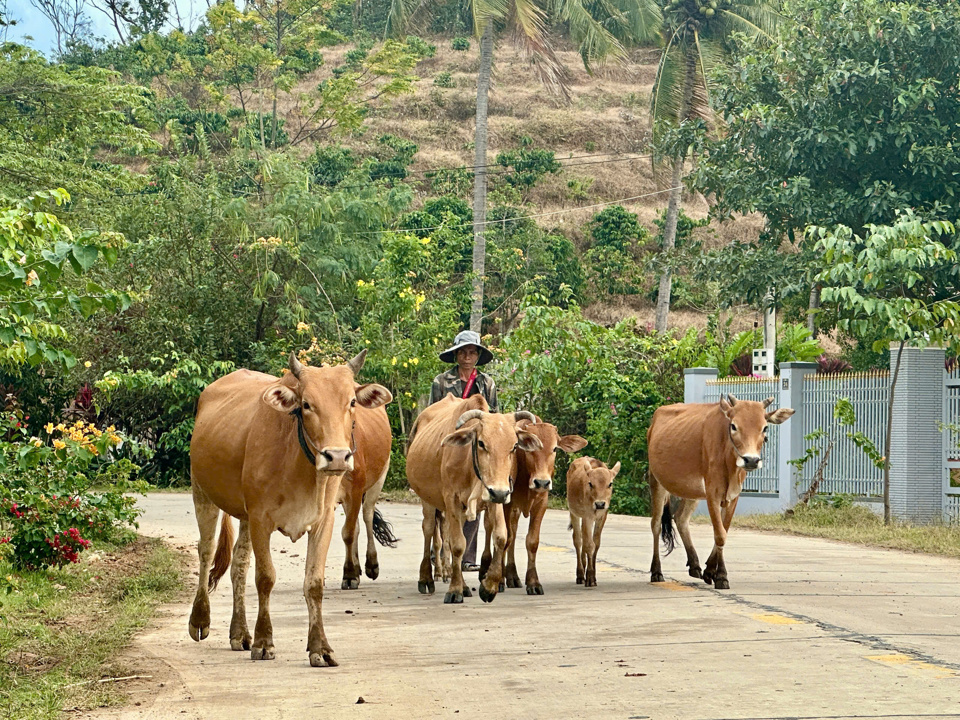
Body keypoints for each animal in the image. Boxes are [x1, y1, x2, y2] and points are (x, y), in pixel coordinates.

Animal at [188, 352, 390, 668]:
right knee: (206, 551)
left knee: (238, 564)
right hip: (202, 492)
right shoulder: (261, 519)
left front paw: (320, 647)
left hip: (244, 516)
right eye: (306, 404)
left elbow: (314, 583)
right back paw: (200, 620)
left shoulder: (322, 520)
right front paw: (264, 642)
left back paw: (239, 633)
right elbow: (265, 578)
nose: (337, 457)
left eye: (351, 402)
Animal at [404, 394, 540, 600]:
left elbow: (500, 537)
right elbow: (457, 545)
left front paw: (489, 586)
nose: (499, 492)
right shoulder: (451, 499)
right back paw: (427, 578)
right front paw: (454, 590)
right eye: (482, 443)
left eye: (514, 446)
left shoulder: (495, 498)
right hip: (427, 499)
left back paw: (464, 585)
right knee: (429, 531)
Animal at [492, 422, 588, 596]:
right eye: (530, 449)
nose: (542, 482)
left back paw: (513, 576)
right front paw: (500, 580)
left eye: (555, 448)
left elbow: (532, 541)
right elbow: (505, 539)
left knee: (514, 535)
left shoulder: (541, 504)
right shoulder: (507, 504)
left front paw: (533, 582)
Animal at [568, 458, 620, 588]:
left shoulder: (602, 516)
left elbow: (596, 543)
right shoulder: (588, 516)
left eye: (610, 484)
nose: (600, 504)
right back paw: (580, 574)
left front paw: (593, 576)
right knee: (578, 540)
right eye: (590, 483)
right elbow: (589, 545)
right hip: (574, 513)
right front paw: (590, 577)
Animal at [644, 394, 796, 592]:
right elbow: (720, 534)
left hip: (691, 491)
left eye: (765, 427)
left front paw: (710, 571)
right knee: (656, 524)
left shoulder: (733, 496)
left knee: (681, 518)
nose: (751, 460)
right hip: (656, 481)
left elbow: (724, 530)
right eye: (733, 426)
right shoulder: (713, 494)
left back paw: (695, 565)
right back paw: (656, 571)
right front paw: (722, 576)